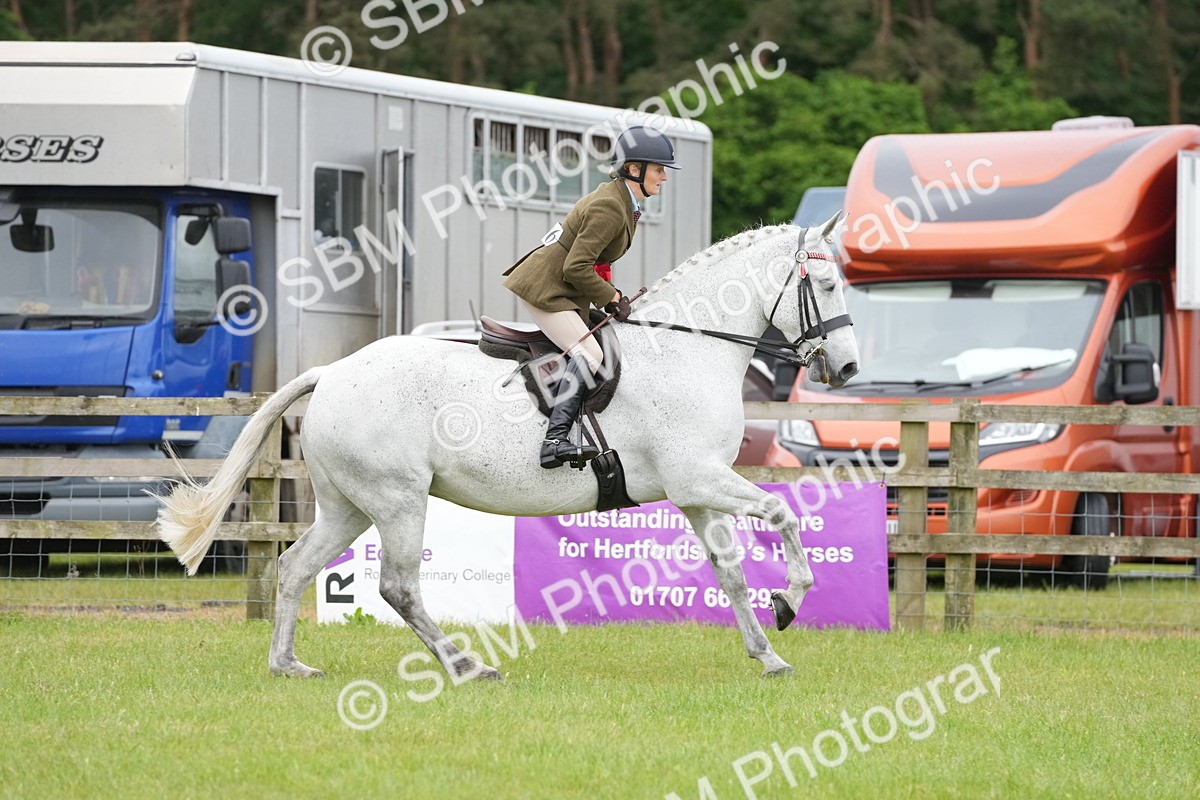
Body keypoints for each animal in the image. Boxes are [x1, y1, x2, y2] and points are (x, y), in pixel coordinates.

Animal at [157, 213, 860, 679]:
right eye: (826, 288)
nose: (848, 370)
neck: (688, 347)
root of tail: (331, 373)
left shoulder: (696, 491)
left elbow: (731, 572)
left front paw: (768, 654)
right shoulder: (699, 479)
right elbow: (784, 513)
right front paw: (791, 602)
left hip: (349, 505)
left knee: (298, 565)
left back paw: (288, 665)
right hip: (398, 499)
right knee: (399, 587)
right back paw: (467, 666)